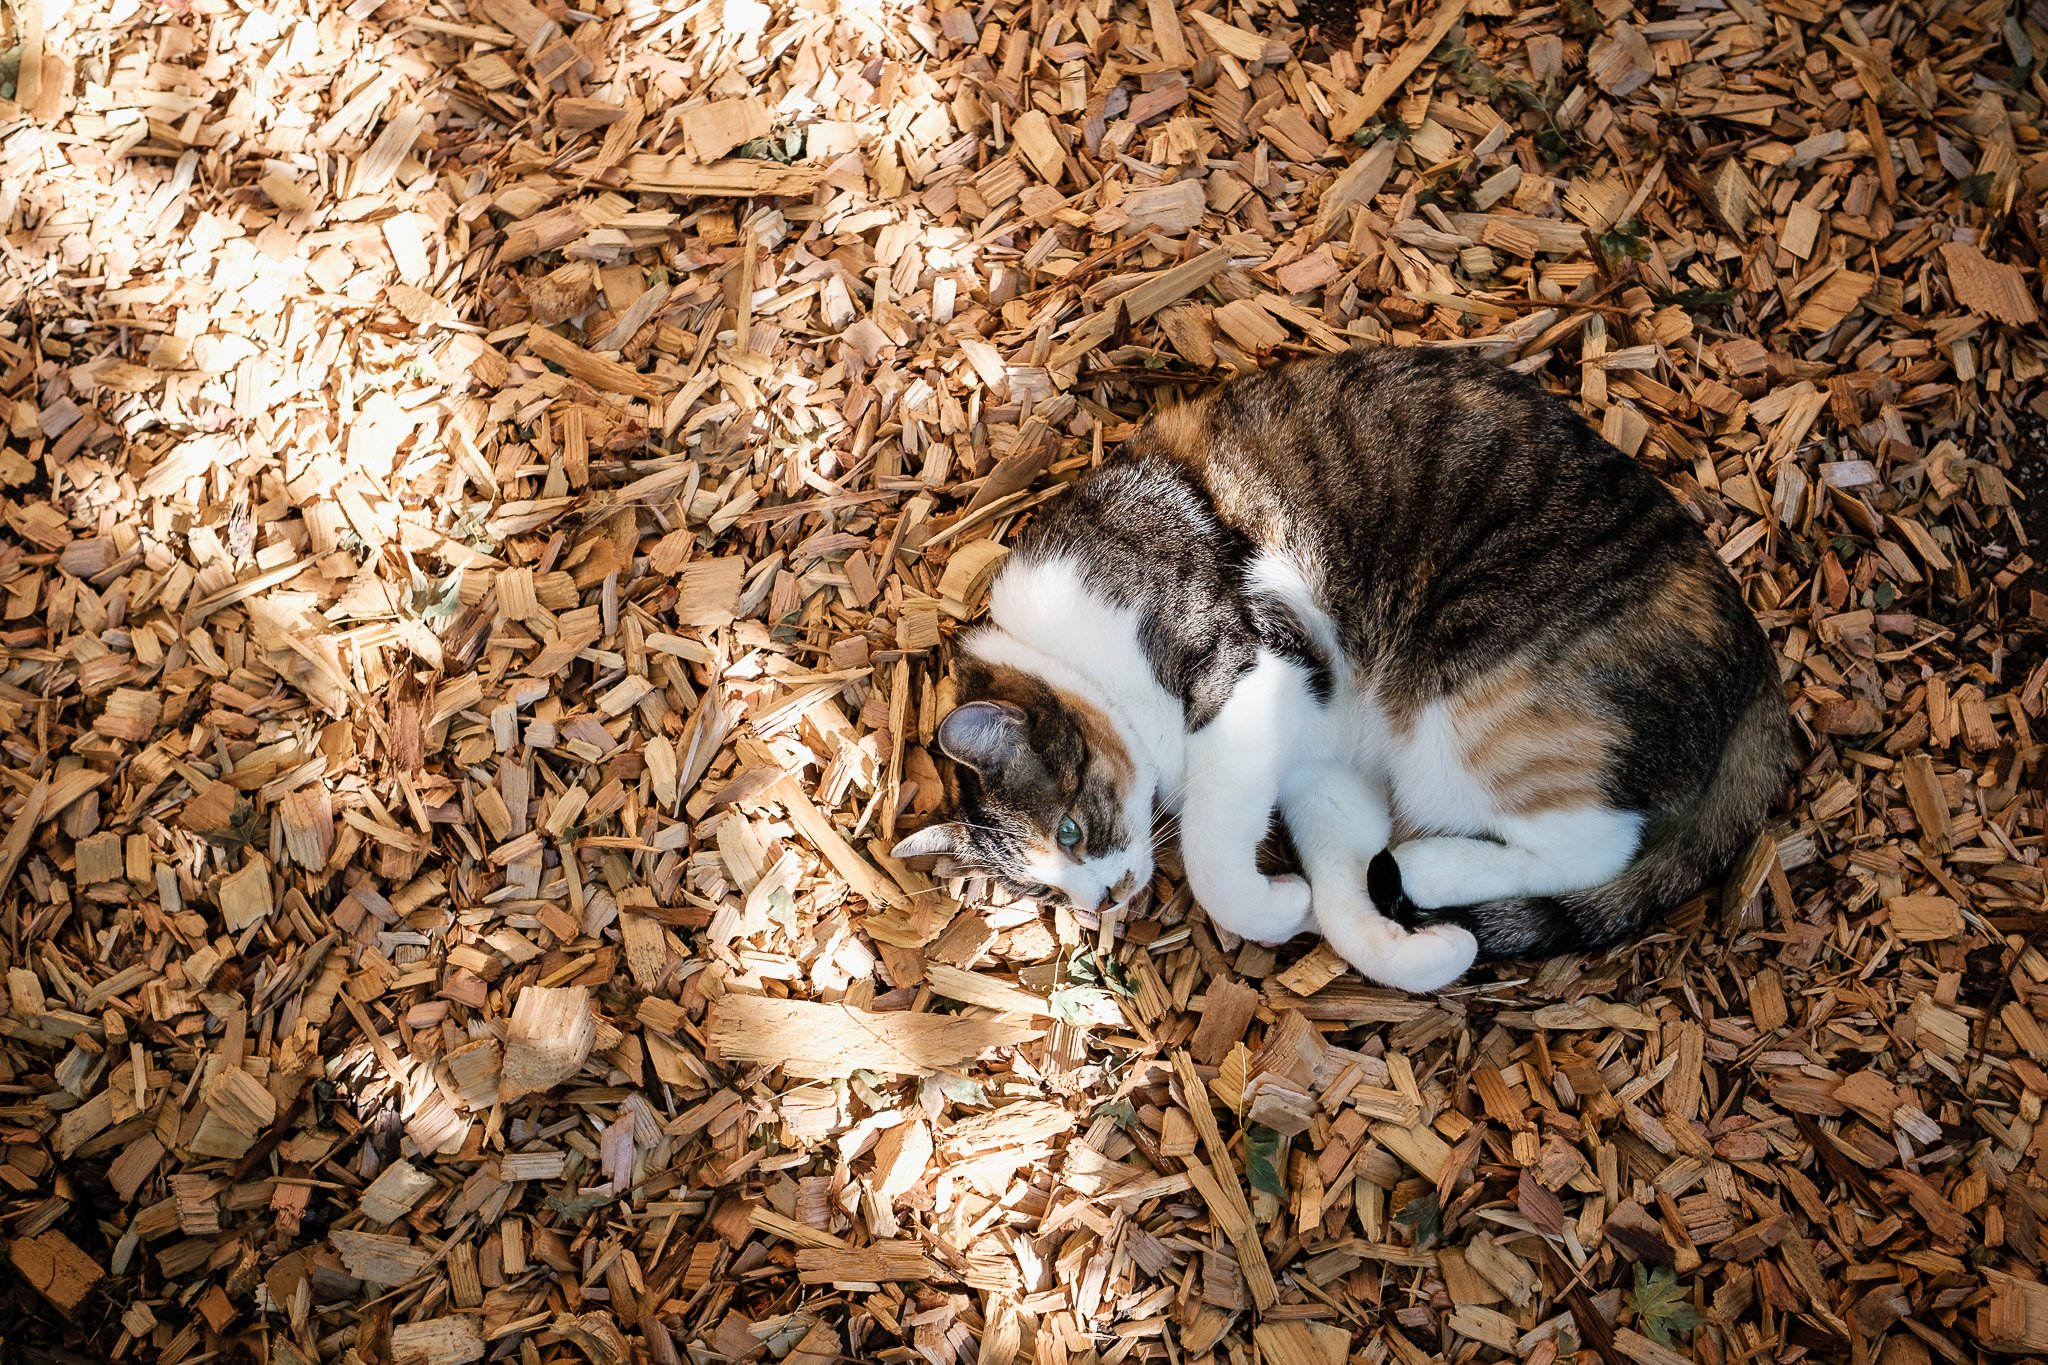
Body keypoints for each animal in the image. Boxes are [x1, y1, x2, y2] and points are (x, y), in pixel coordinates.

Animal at [888, 347, 1785, 994]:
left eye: (1069, 831)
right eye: (1045, 894)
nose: (1104, 900)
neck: (1073, 648)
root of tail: (1756, 666)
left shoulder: (1249, 675)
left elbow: (1214, 856)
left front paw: (1267, 900)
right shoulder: (1320, 767)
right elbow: (1344, 880)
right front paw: (1384, 941)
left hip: (1473, 712)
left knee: (1599, 844)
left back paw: (1430, 866)